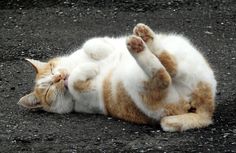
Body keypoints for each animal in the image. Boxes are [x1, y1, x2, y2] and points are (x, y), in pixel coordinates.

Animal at [18, 23, 218, 132]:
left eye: (52, 71)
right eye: (49, 89)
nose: (59, 77)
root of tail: (205, 108)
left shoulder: (98, 43)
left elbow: (91, 44)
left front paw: (97, 56)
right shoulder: (91, 98)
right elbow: (75, 82)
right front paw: (87, 69)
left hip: (181, 48)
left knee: (170, 65)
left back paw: (142, 37)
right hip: (139, 85)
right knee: (164, 75)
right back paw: (138, 45)